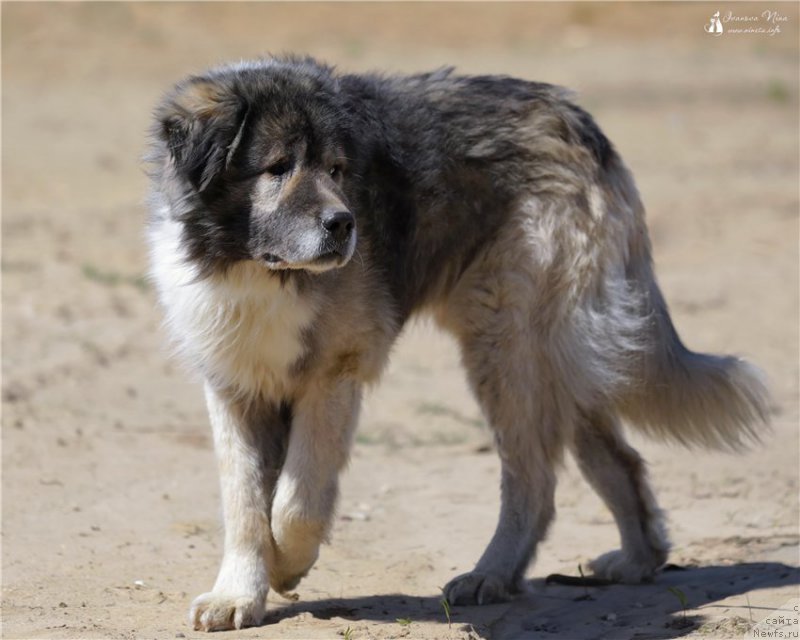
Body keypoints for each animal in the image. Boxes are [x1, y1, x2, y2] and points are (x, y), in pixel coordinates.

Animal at [148, 55, 768, 632]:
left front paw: (287, 566)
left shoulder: (334, 376)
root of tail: (577, 119)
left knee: (535, 480)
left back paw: (491, 574)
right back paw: (637, 561)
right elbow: (244, 503)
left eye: (337, 169)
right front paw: (237, 595)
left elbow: (293, 504)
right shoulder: (233, 386)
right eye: (277, 168)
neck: (260, 270)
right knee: (618, 460)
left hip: (507, 345)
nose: (344, 225)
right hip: (555, 359)